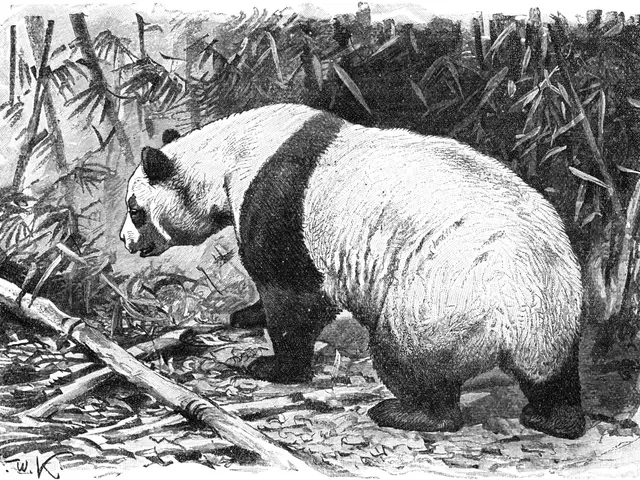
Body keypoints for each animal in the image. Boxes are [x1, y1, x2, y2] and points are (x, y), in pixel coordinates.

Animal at [120, 103, 585, 439]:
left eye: (134, 209)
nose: (126, 241)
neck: (228, 154)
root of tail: (516, 317)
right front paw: (247, 315)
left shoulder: (280, 200)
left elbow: (292, 292)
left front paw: (273, 367)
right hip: (555, 308)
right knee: (553, 372)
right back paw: (554, 418)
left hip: (442, 295)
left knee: (408, 356)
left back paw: (408, 412)